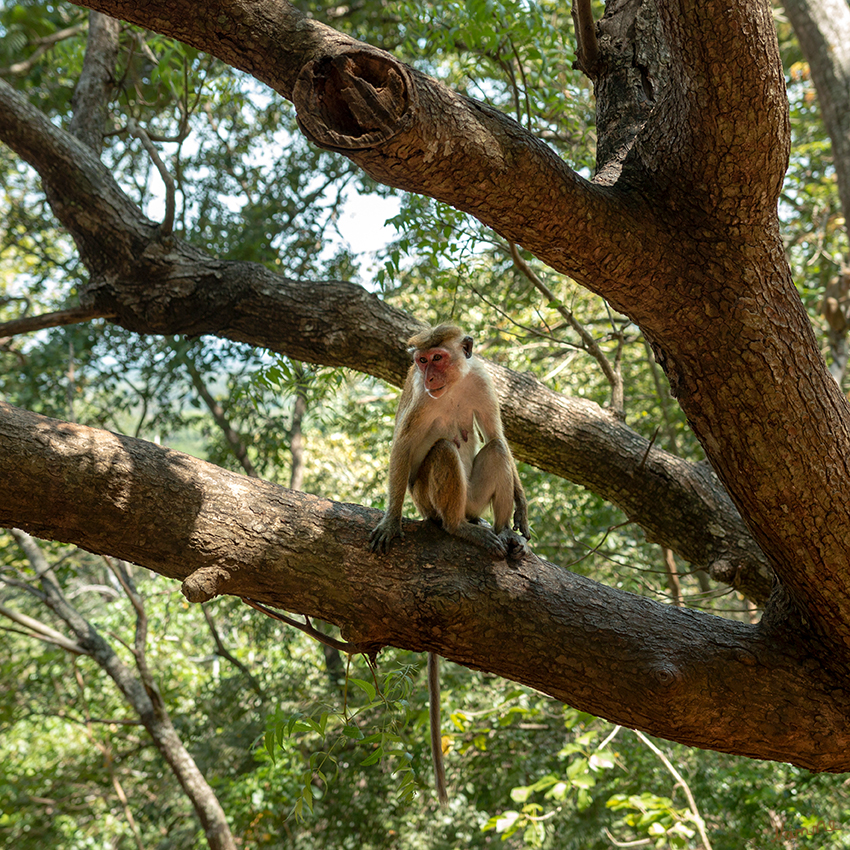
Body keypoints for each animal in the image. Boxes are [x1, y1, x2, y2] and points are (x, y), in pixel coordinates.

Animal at [368, 322, 528, 800]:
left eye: (437, 358)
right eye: (421, 362)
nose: (430, 375)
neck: (453, 386)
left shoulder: (483, 382)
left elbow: (497, 433)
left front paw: (522, 507)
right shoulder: (421, 398)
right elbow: (403, 445)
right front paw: (390, 518)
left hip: (475, 496)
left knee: (495, 450)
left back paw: (503, 533)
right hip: (429, 498)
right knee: (440, 450)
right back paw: (460, 528)